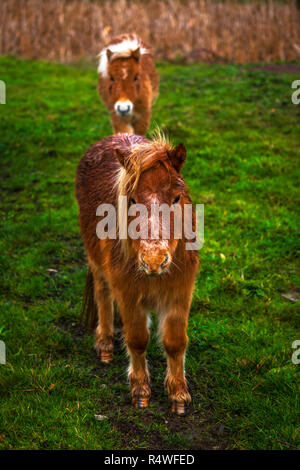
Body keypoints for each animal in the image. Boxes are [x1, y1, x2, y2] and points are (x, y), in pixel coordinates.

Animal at [75, 130, 199, 414]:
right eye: (131, 200)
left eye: (177, 198)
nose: (154, 260)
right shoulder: (128, 294)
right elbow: (138, 339)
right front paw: (140, 391)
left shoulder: (180, 293)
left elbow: (175, 342)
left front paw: (178, 394)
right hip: (96, 263)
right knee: (102, 294)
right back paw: (105, 344)